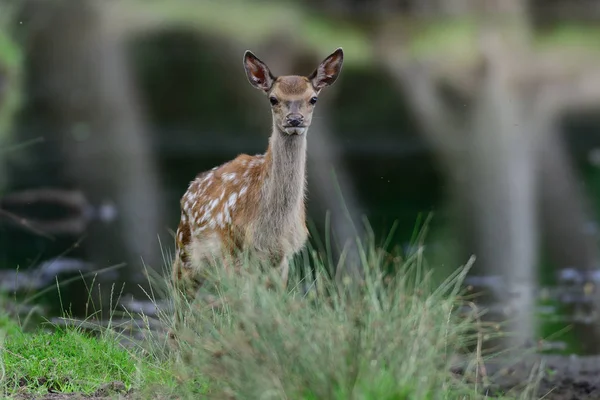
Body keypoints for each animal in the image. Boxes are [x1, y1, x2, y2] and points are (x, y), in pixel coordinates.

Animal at [169, 46, 344, 334]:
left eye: (313, 99)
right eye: (273, 99)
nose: (294, 120)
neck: (269, 225)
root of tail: (190, 189)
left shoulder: (281, 257)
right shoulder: (235, 251)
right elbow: (243, 309)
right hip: (185, 251)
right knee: (179, 307)